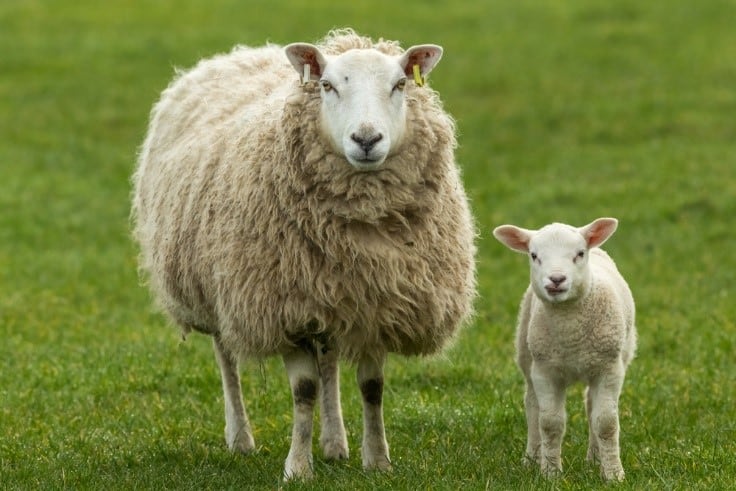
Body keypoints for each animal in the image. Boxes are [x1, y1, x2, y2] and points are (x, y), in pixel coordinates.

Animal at [131, 28, 478, 482]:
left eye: (400, 84)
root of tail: (240, 53)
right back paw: (240, 438)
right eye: (327, 86)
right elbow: (304, 390)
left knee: (328, 361)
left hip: (326, 296)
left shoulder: (376, 303)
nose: (366, 140)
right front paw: (297, 467)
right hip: (217, 289)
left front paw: (377, 460)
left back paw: (334, 443)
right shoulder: (284, 308)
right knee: (227, 357)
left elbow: (371, 388)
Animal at [492, 218, 636, 480]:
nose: (556, 279)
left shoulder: (609, 368)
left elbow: (606, 423)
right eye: (534, 255)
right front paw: (550, 473)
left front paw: (613, 474)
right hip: (527, 356)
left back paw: (595, 459)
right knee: (532, 407)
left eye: (579, 254)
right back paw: (532, 458)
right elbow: (550, 423)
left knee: (590, 406)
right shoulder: (545, 370)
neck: (572, 335)